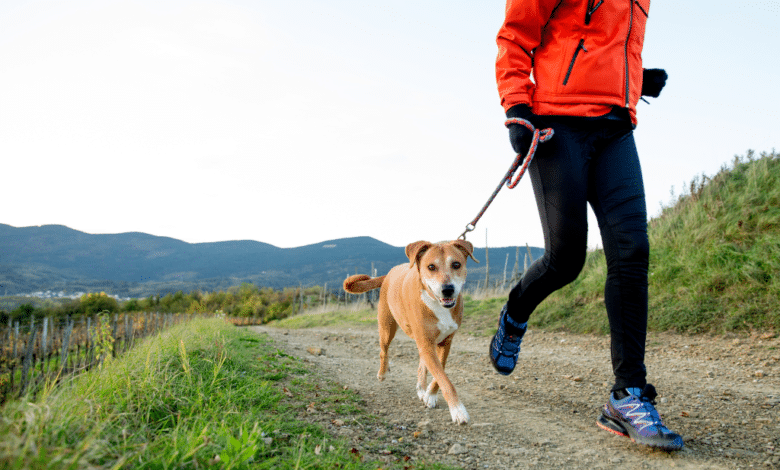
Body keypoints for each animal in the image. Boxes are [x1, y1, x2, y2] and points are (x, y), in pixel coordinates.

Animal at [344, 241, 478, 424]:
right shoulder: (427, 344)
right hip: (387, 328)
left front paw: (430, 394)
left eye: (456, 264)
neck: (436, 304)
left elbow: (439, 374)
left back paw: (422, 389)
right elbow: (444, 379)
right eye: (431, 267)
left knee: (422, 365)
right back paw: (382, 373)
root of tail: (389, 273)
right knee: (383, 351)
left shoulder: (445, 343)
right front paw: (458, 410)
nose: (447, 289)